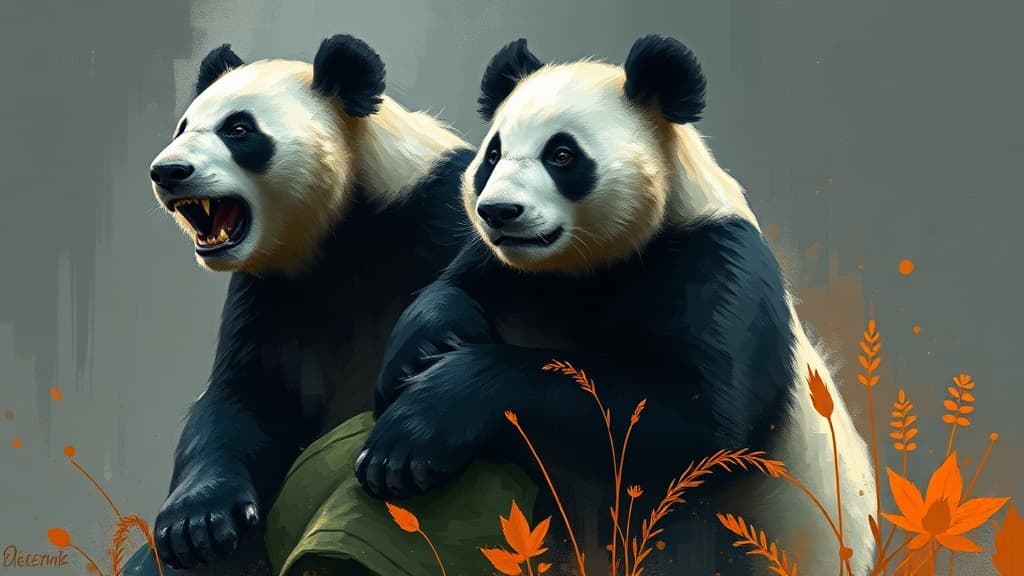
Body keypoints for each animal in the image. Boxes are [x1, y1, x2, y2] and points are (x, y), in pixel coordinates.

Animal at [127, 35, 474, 575]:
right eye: (183, 126)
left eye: (239, 129)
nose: (168, 171)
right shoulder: (269, 291)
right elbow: (247, 396)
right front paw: (198, 523)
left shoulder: (437, 210)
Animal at [355, 36, 877, 575]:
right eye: (493, 154)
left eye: (562, 154)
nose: (499, 212)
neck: (590, 266)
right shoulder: (511, 272)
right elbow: (455, 286)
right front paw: (419, 351)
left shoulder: (718, 270)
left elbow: (691, 421)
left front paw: (412, 437)